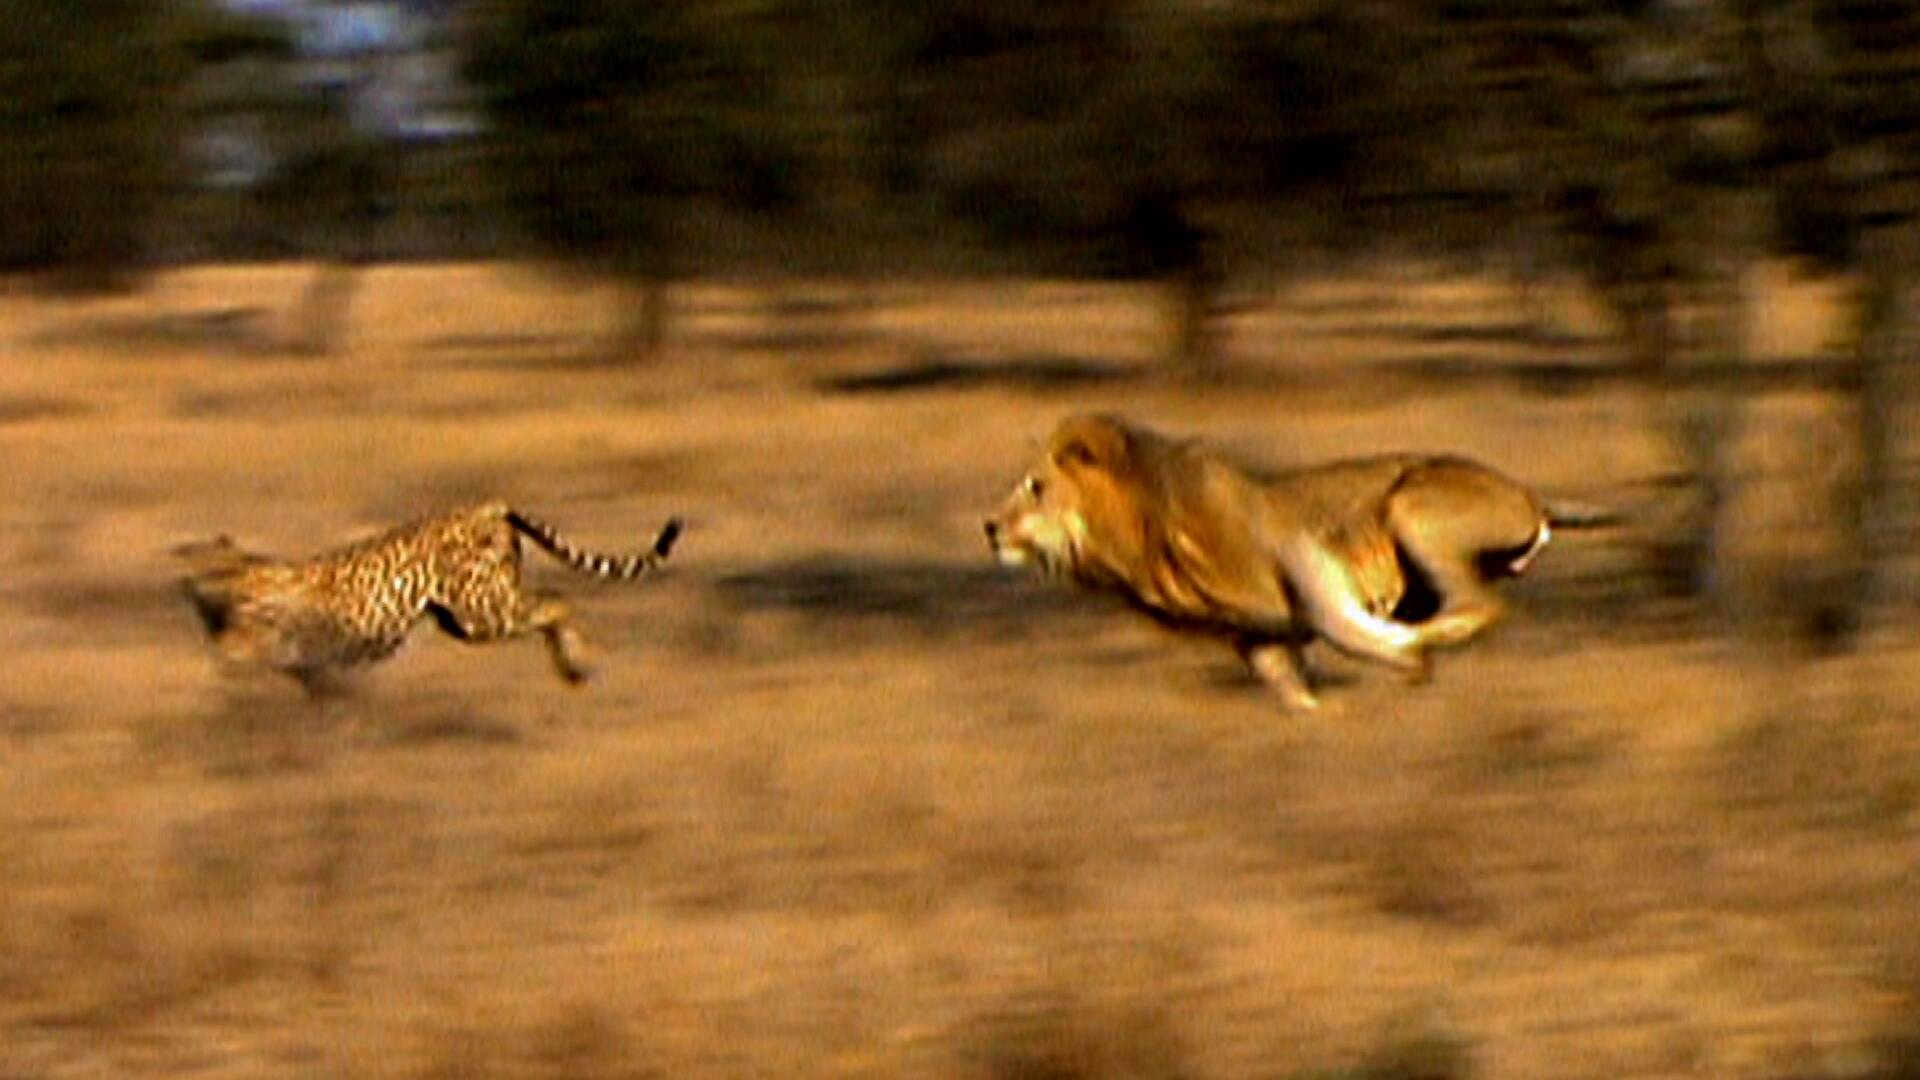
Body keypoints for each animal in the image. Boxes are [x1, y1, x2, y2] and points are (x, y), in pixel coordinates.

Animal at [983, 413, 1557, 709]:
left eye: (1035, 487)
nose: (988, 527)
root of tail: (1530, 497)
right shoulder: (1256, 639)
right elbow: (1289, 688)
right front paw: (1324, 718)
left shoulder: (1301, 550)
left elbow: (1342, 626)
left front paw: (1403, 654)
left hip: (1409, 506)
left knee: (1480, 606)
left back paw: (1419, 639)